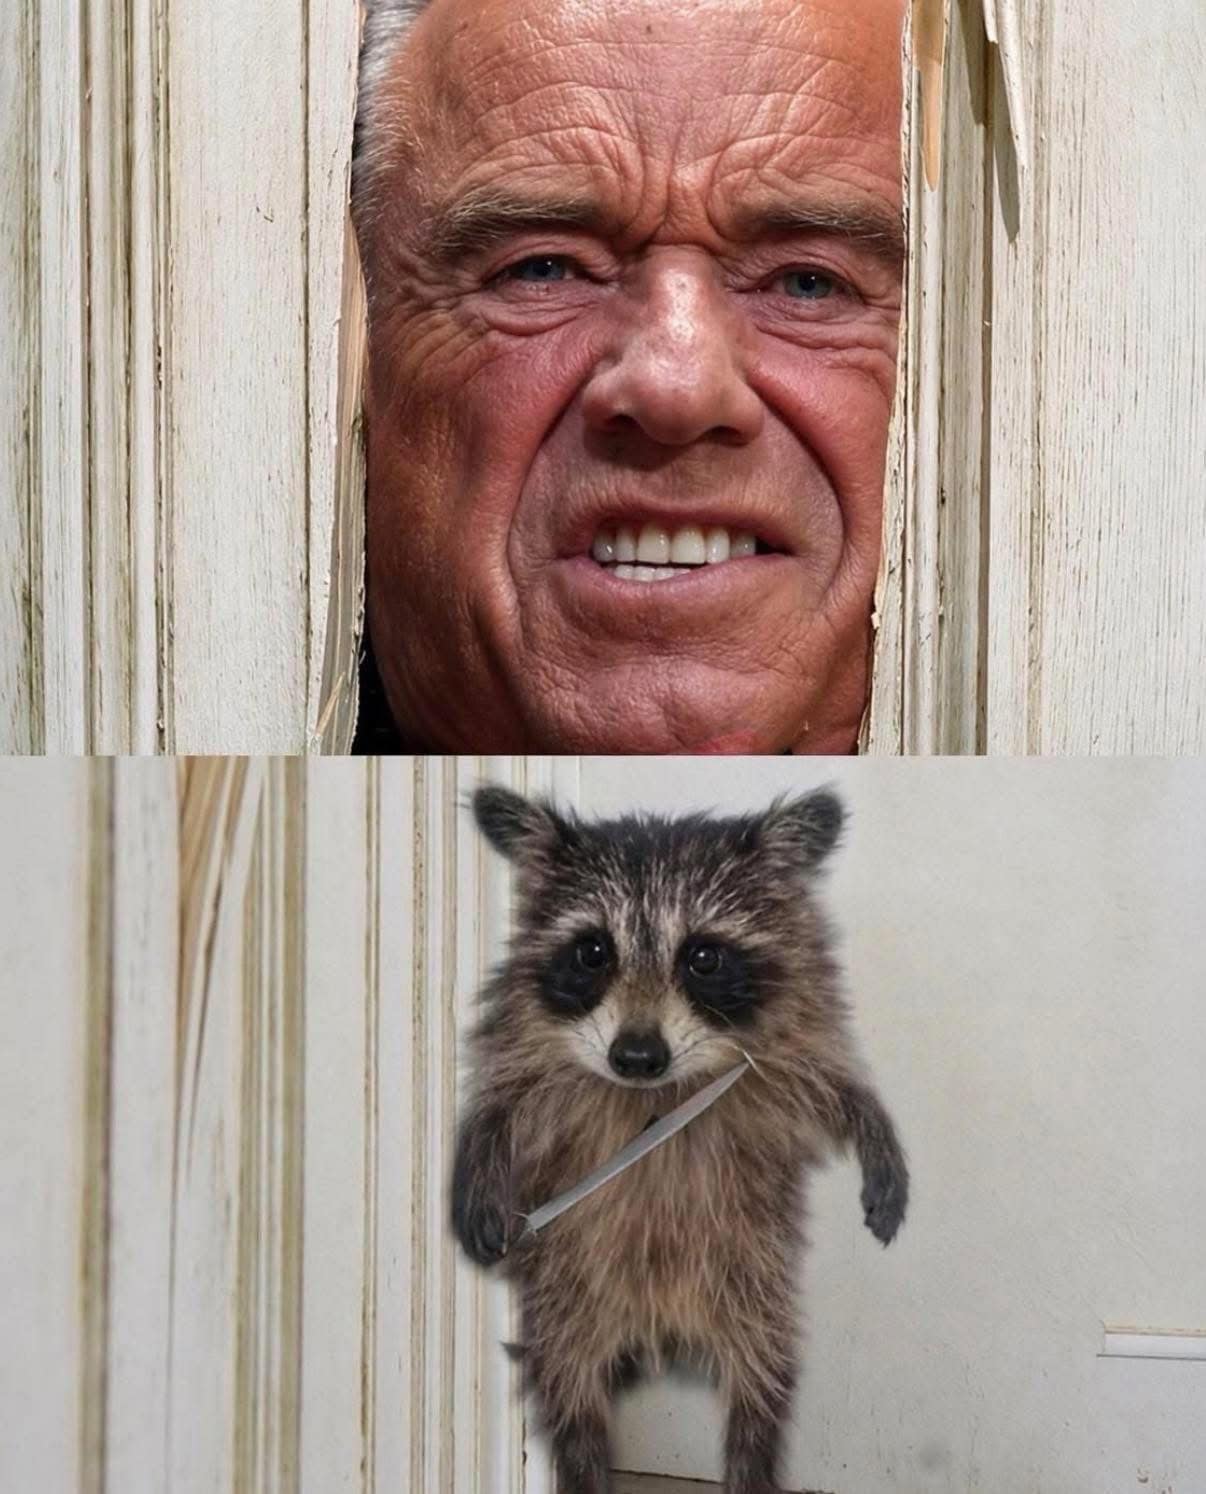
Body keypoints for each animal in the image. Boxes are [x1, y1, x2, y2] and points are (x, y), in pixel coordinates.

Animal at [452, 785, 908, 1494]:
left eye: (702, 956)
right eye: (593, 953)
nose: (637, 1057)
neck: (657, 1098)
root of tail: (660, 1323)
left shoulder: (791, 1048)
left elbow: (837, 1085)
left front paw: (874, 1128)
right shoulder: (527, 1057)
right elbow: (500, 1103)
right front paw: (475, 1160)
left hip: (751, 1286)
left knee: (759, 1393)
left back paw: (751, 1465)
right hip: (566, 1302)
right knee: (572, 1402)